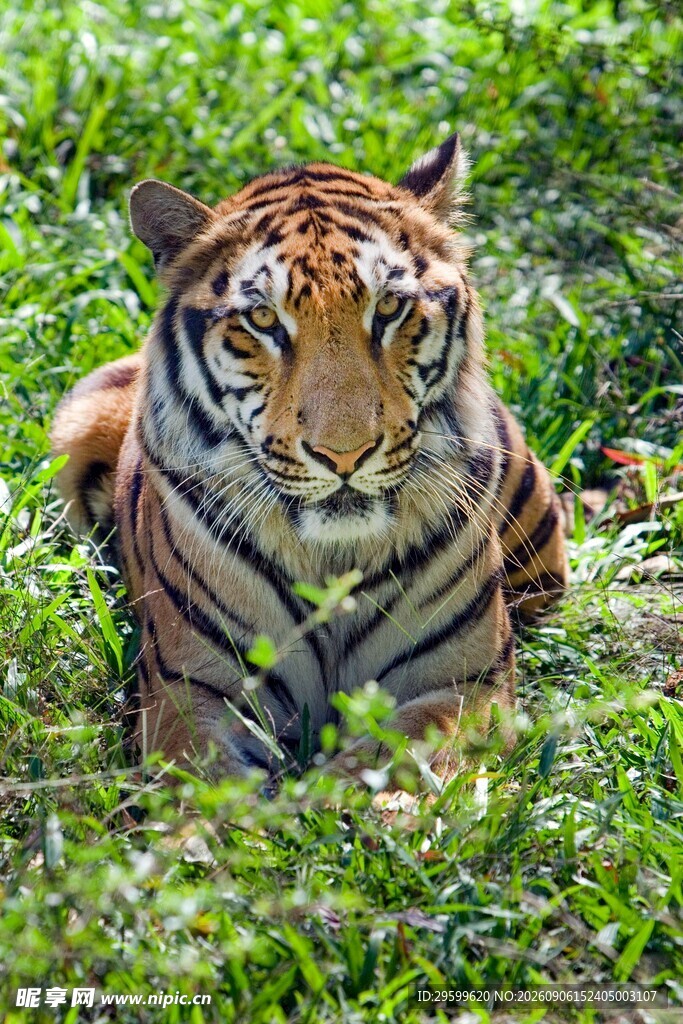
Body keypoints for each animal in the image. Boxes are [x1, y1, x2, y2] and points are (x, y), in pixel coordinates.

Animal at [51, 133, 568, 785]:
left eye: (390, 308)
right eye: (263, 319)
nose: (343, 454)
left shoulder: (464, 684)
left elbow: (388, 766)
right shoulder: (189, 693)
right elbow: (208, 793)